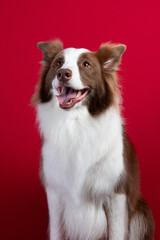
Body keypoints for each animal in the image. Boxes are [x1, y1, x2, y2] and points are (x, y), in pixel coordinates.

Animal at [32, 40, 154, 239]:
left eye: (86, 64)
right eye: (58, 62)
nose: (63, 73)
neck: (75, 123)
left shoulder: (116, 194)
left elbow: (116, 233)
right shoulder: (55, 193)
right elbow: (57, 232)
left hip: (141, 215)